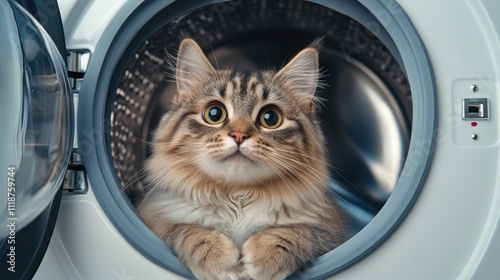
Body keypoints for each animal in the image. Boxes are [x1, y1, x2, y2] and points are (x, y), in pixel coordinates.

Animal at [138, 37, 348, 280]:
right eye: (214, 114)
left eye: (270, 118)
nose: (239, 135)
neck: (237, 197)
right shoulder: (152, 216)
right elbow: (185, 228)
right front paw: (217, 256)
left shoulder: (333, 230)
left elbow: (299, 232)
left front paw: (265, 255)